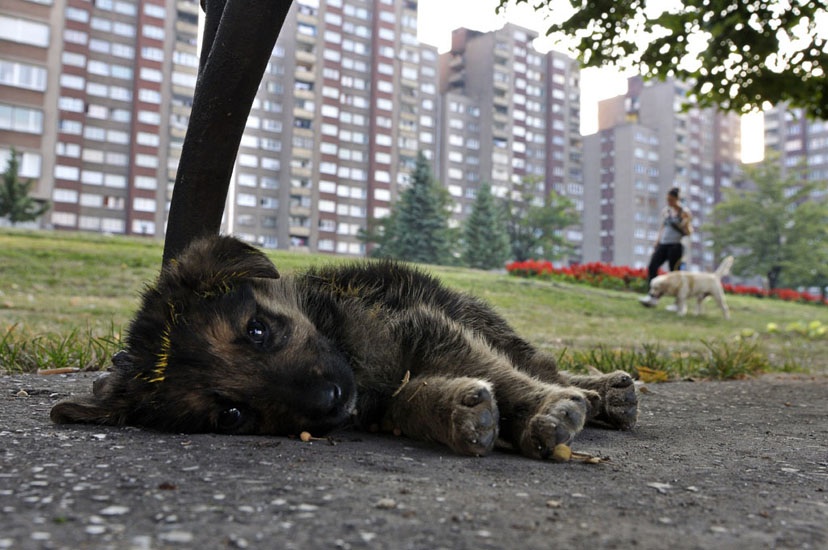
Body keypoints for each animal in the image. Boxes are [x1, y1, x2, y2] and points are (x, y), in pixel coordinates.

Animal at [51, 237, 636, 462]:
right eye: (232, 416)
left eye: (257, 330)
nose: (330, 401)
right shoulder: (383, 398)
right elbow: (413, 400)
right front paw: (460, 413)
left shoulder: (426, 327)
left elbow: (510, 377)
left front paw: (543, 413)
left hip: (473, 312)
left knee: (538, 362)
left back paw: (602, 392)